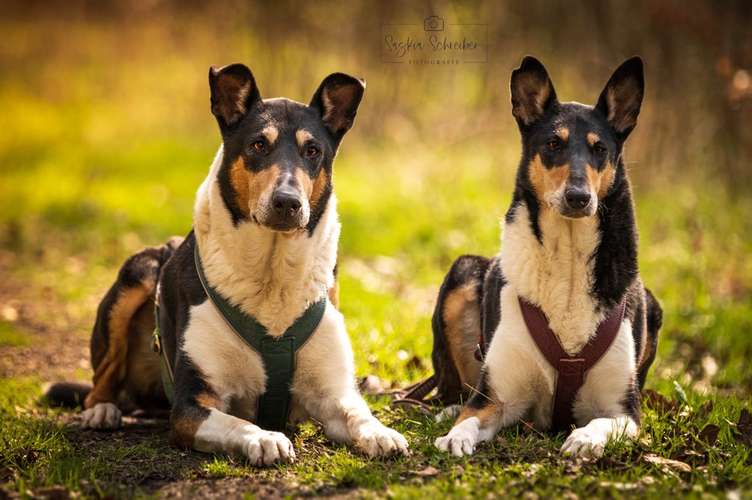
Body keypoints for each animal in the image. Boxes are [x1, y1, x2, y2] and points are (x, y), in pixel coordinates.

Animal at [406, 55, 656, 458]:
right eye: (554, 143)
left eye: (600, 149)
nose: (578, 197)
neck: (568, 259)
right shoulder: (497, 397)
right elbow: (471, 416)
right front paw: (455, 436)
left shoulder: (624, 410)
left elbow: (601, 423)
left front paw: (584, 439)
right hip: (463, 272)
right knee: (453, 392)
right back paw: (448, 410)